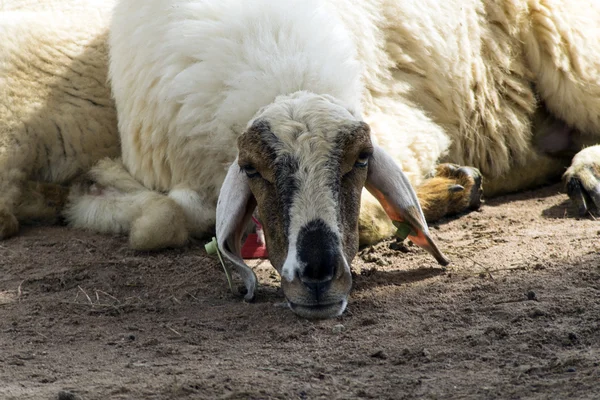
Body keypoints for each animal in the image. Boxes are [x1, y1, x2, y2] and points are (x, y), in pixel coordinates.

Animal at [1, 0, 600, 318]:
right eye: (252, 170)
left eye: (361, 161)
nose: (317, 277)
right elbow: (167, 220)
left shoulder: (405, 128)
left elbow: (369, 215)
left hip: (567, 41)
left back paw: (579, 176)